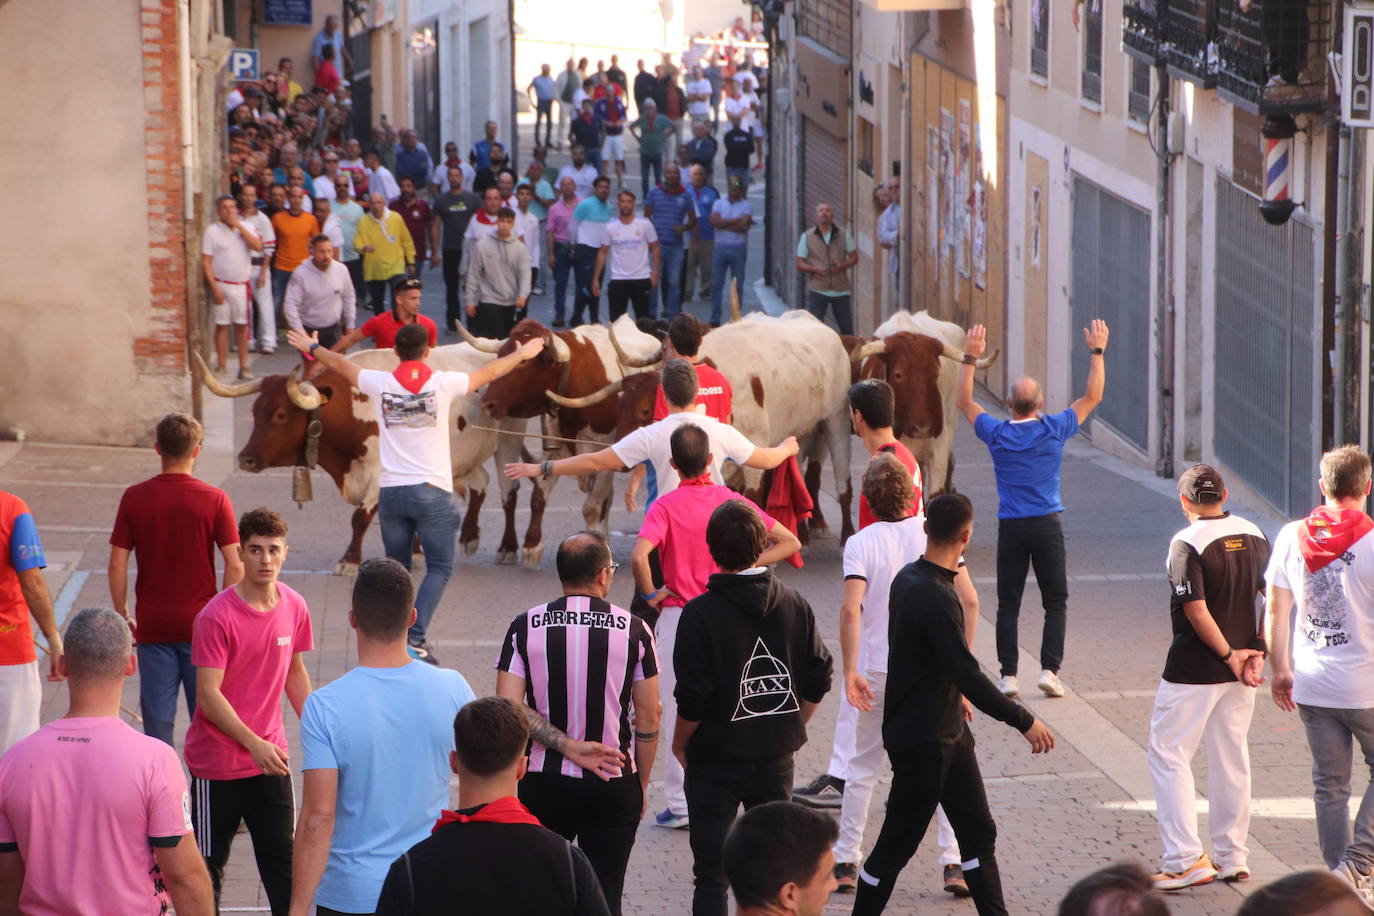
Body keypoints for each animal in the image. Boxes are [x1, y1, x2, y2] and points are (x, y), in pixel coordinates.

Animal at [192, 346, 552, 568]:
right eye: (255, 411)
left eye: (280, 414)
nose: (247, 459)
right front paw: (416, 554)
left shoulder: (380, 475)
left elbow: (361, 518)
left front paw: (349, 560)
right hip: (460, 457)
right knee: (481, 483)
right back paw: (469, 537)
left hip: (508, 439)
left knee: (508, 491)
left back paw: (508, 547)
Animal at [456, 315, 665, 532]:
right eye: (501, 355)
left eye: (523, 361)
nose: (487, 404)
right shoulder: (554, 451)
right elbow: (539, 497)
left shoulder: (610, 454)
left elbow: (592, 508)